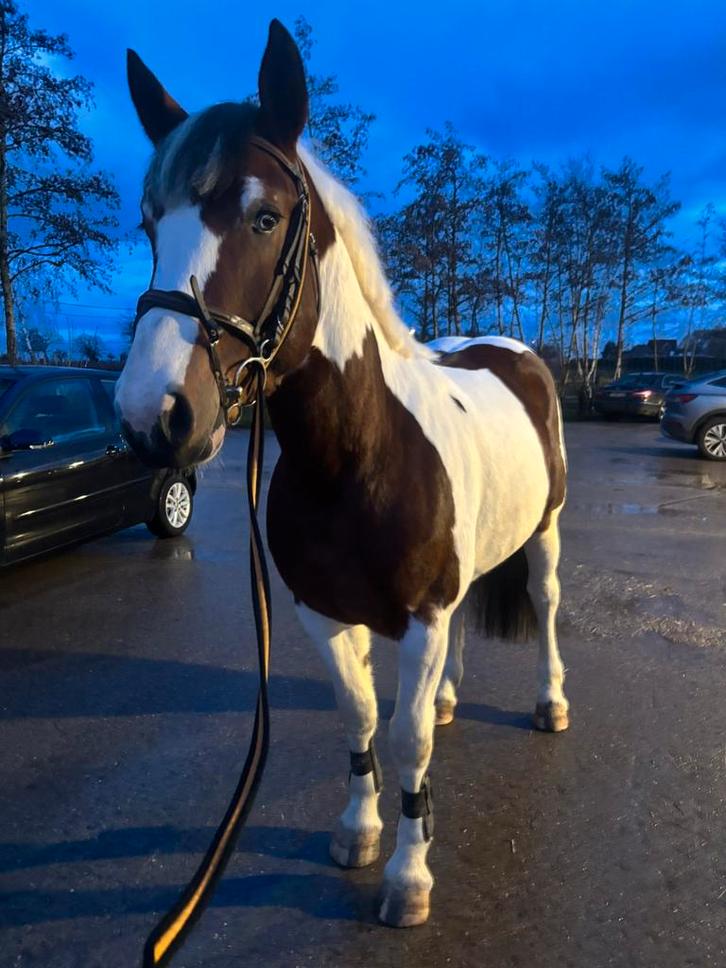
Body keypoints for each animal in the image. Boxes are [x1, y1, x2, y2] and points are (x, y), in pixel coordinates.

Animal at [116, 19, 570, 929]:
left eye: (264, 216)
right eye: (149, 223)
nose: (155, 416)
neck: (358, 461)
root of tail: (515, 352)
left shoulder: (421, 617)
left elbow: (406, 741)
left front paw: (409, 876)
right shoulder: (321, 612)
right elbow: (360, 715)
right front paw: (359, 833)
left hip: (546, 532)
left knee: (543, 604)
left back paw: (549, 702)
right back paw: (449, 695)